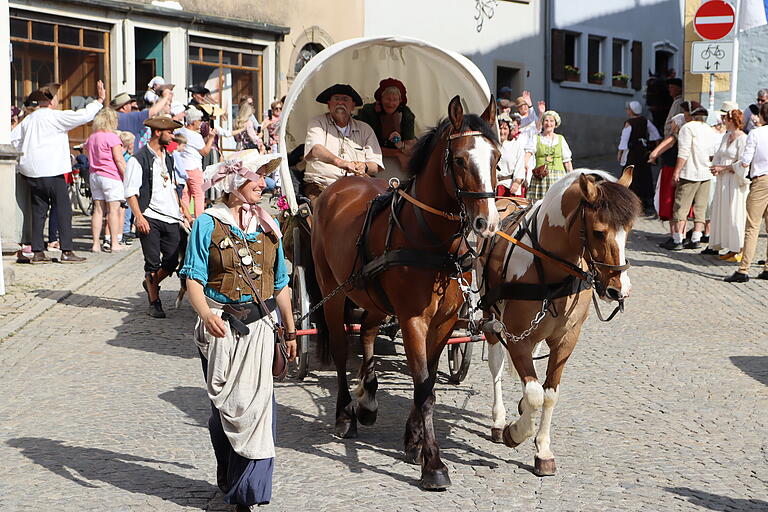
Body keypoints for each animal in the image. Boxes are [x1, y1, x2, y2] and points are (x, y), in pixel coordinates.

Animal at [310, 95, 498, 488]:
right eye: (460, 160)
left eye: (496, 158)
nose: (487, 223)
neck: (434, 242)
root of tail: (339, 186)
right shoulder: (413, 320)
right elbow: (424, 388)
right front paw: (434, 464)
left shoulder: (443, 323)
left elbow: (426, 381)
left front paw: (413, 442)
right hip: (332, 291)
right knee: (340, 349)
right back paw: (344, 415)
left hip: (372, 294)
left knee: (367, 330)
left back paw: (367, 400)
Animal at [480, 168, 640, 476]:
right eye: (599, 232)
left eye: (630, 230)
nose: (620, 290)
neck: (551, 272)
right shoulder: (516, 337)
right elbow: (534, 394)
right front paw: (514, 433)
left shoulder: (566, 340)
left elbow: (549, 394)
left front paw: (543, 450)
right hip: (489, 315)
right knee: (496, 362)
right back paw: (499, 420)